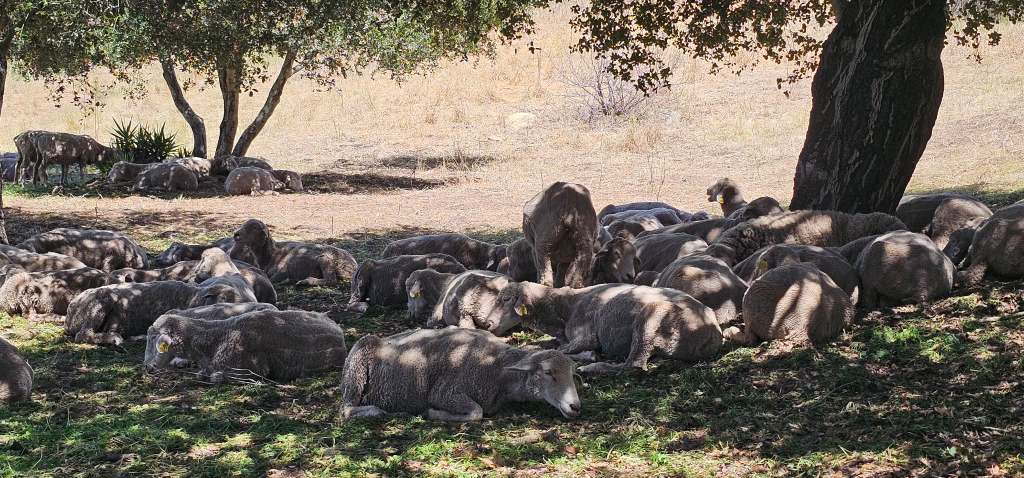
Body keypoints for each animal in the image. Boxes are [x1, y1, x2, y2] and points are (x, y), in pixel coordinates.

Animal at [340, 327, 581, 421]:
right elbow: (476, 412)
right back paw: (377, 411)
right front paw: (434, 413)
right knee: (346, 409)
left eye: (572, 373)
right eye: (548, 372)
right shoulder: (445, 393)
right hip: (355, 373)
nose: (575, 406)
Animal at [502, 282, 723, 373]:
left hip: (650, 319)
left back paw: (593, 367)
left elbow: (555, 349)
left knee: (634, 365)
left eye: (505, 298)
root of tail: (712, 332)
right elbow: (550, 345)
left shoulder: (586, 336)